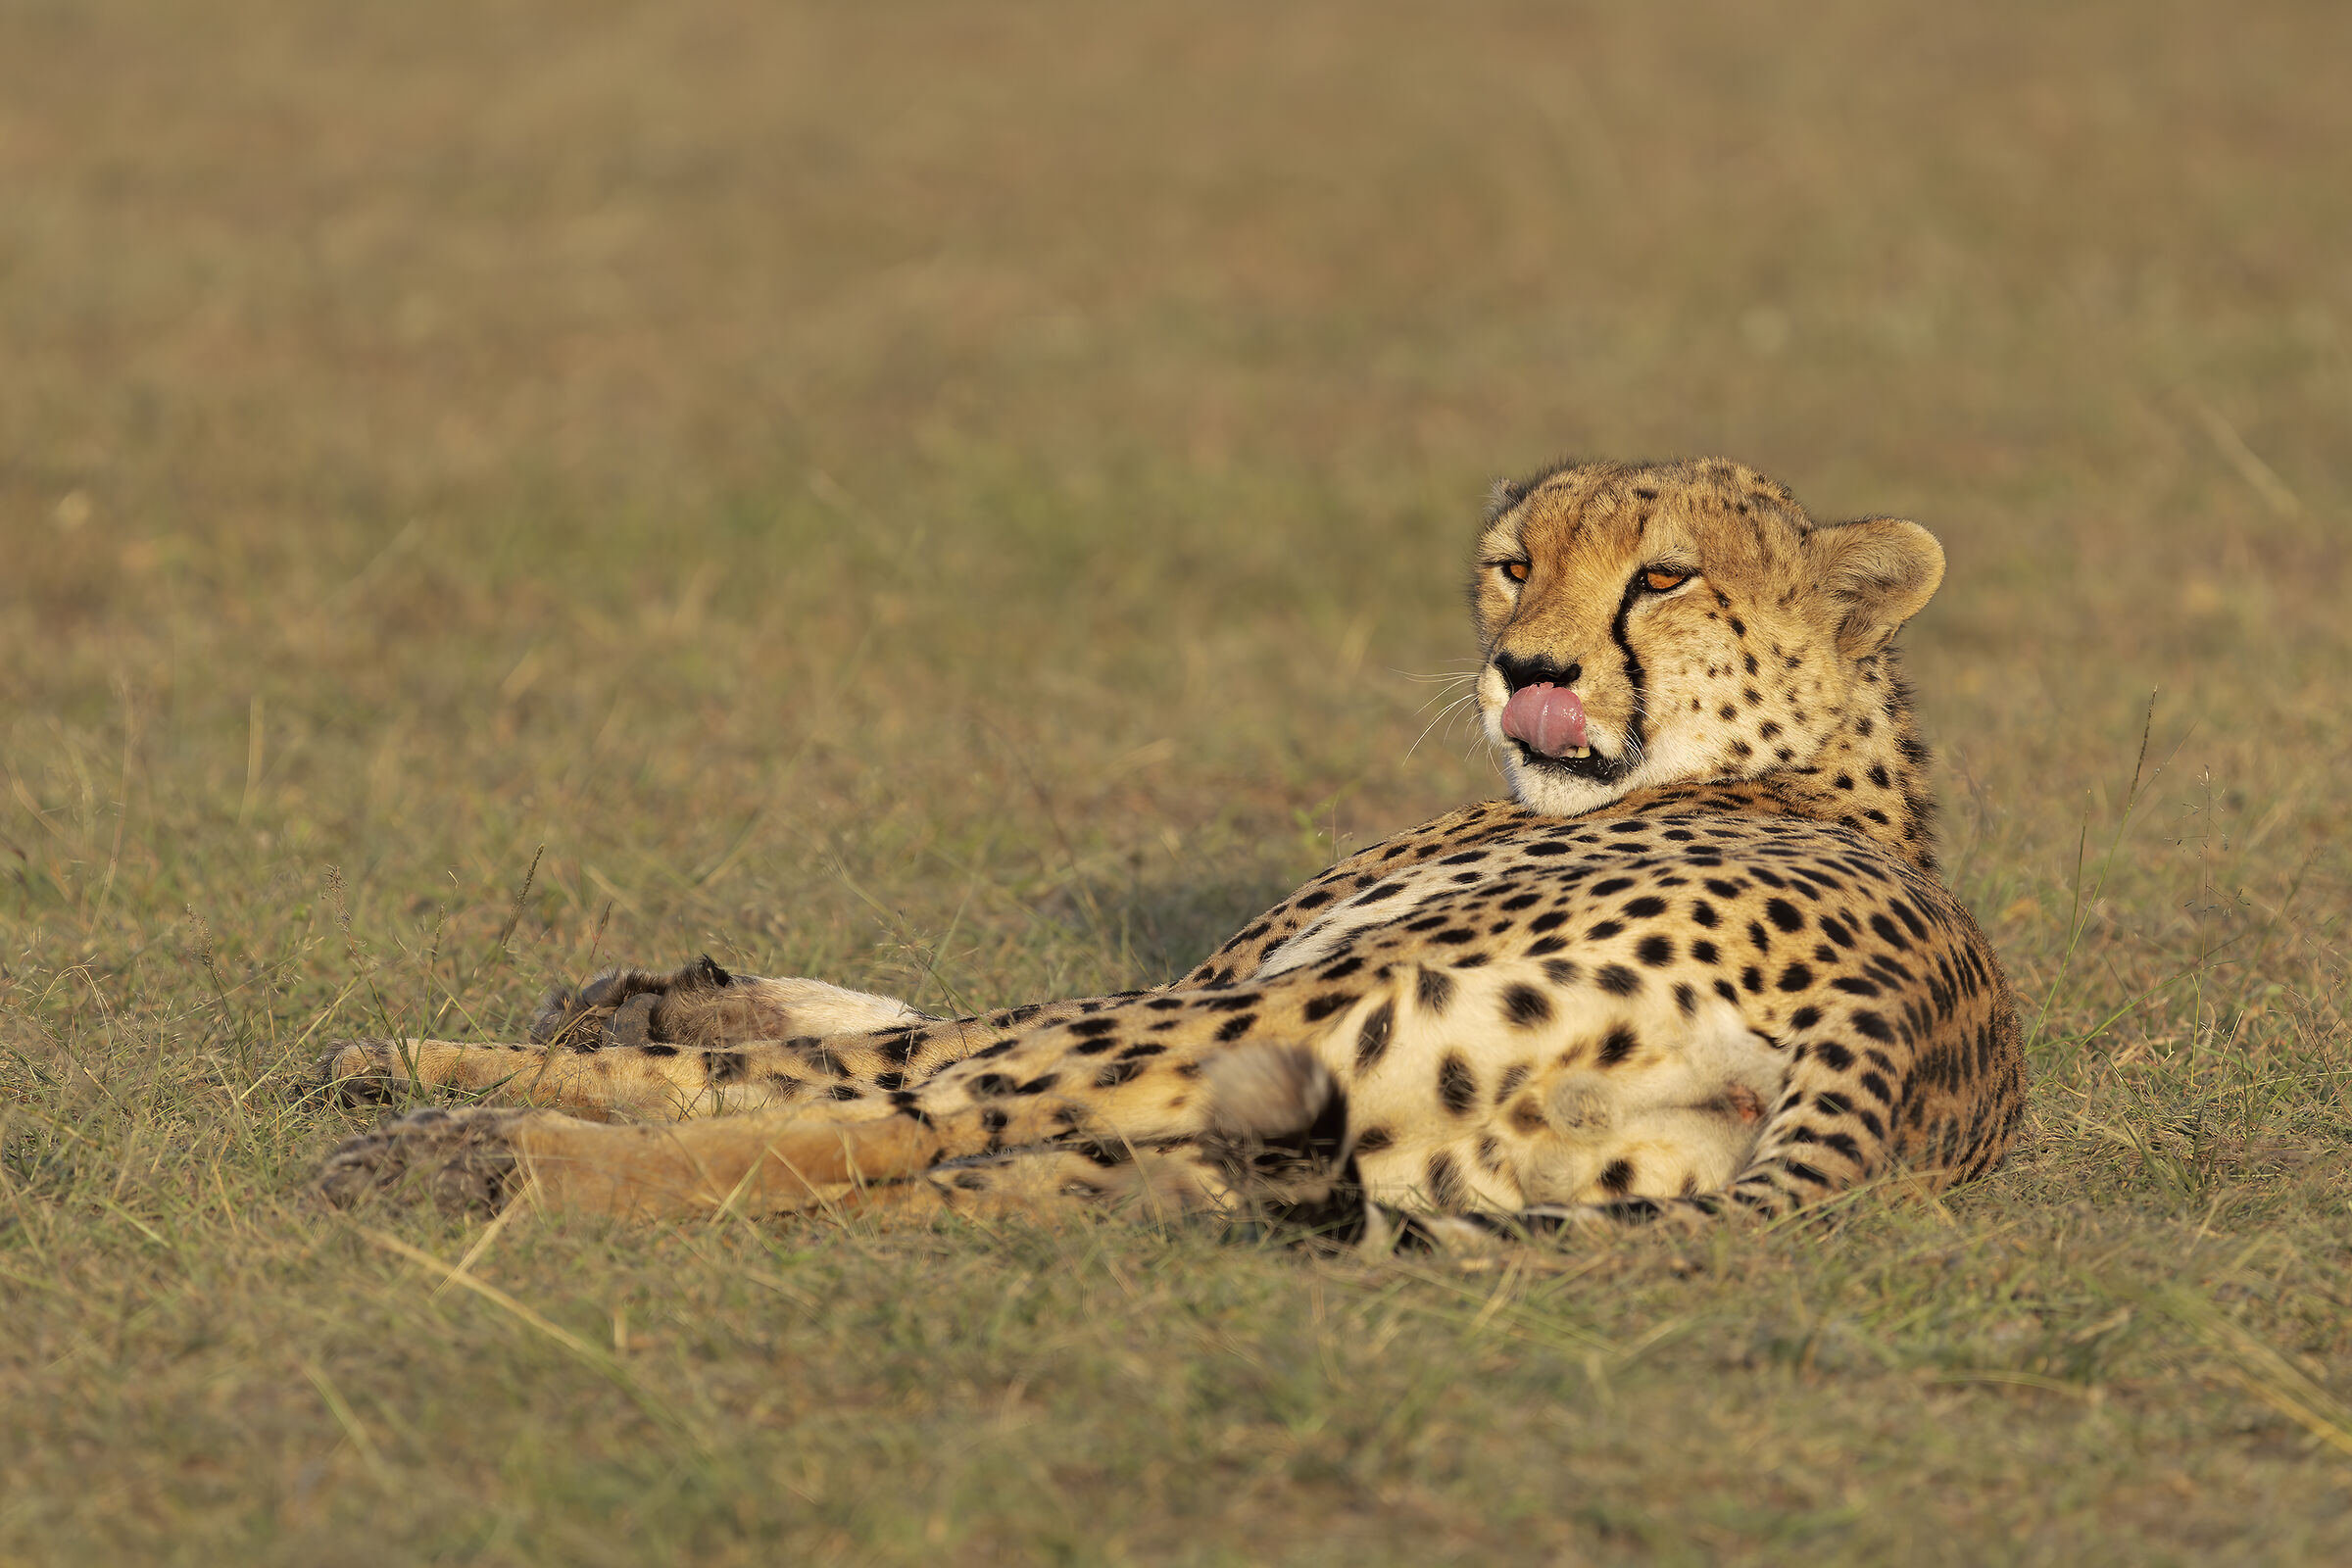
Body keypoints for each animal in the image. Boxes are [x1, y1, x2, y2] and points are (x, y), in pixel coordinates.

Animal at [314, 456, 2024, 1249]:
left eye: (1662, 577)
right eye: (1511, 564)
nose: (1522, 670)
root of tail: (1916, 1029)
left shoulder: (1228, 976)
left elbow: (865, 1043)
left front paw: (507, 1045)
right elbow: (871, 1018)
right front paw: (660, 987)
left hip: (1268, 1026)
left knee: (900, 1115)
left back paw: (450, 1134)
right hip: (1333, 1150)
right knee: (928, 1167)